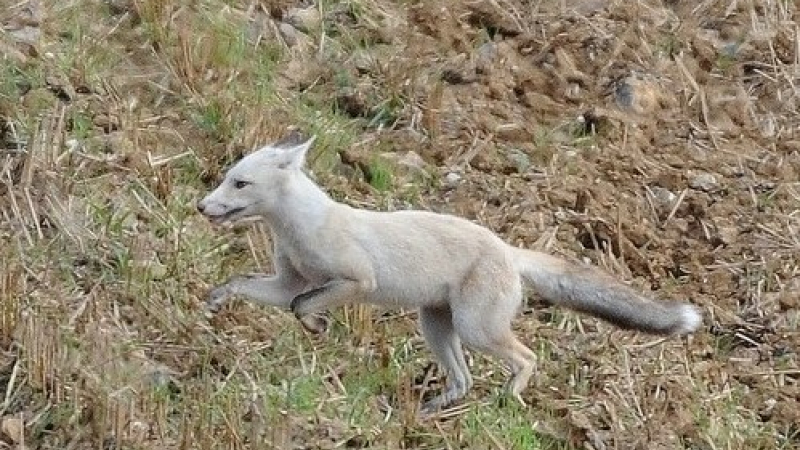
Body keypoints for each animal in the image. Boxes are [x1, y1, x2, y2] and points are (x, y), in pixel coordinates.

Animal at [196, 132, 703, 415]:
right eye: (227, 177)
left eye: (239, 183)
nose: (202, 206)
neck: (301, 228)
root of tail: (507, 249)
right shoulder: (287, 281)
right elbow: (243, 285)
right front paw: (215, 300)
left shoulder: (356, 281)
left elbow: (303, 306)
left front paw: (316, 325)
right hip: (437, 326)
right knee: (464, 381)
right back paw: (428, 412)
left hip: (475, 329)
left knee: (526, 358)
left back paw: (508, 398)